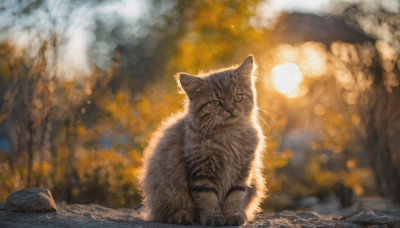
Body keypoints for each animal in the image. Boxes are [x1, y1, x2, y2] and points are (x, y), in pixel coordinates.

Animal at [139, 55, 268, 226]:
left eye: (238, 97)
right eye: (216, 102)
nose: (230, 109)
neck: (228, 135)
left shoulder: (242, 171)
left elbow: (235, 197)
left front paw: (233, 215)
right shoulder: (201, 170)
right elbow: (208, 199)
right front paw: (213, 217)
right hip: (167, 190)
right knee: (162, 214)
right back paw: (182, 216)